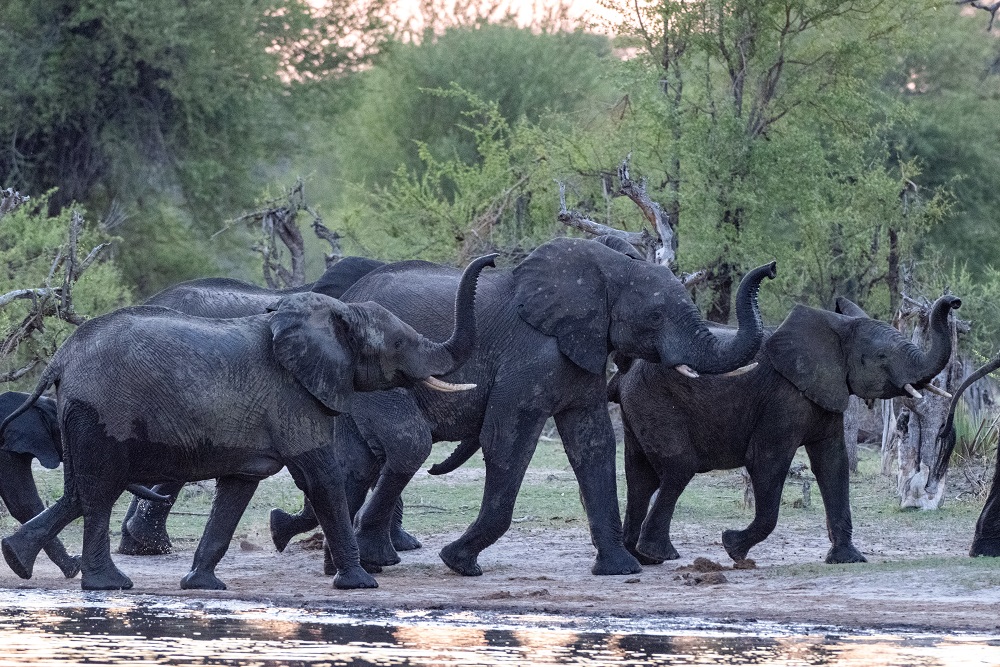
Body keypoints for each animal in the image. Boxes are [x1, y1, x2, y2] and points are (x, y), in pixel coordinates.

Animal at [0, 252, 492, 588]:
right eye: (398, 344)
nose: (493, 259)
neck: (327, 312)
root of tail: (61, 359)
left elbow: (238, 488)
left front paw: (202, 585)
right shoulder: (292, 397)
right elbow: (322, 476)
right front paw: (361, 583)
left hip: (85, 415)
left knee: (81, 491)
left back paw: (20, 561)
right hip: (104, 408)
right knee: (100, 489)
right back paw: (108, 584)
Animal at [270, 236, 776, 580]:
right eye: (653, 317)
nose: (770, 267)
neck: (602, 271)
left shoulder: (583, 353)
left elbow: (594, 445)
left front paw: (620, 570)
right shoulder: (530, 358)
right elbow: (508, 442)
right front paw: (459, 563)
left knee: (358, 463)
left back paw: (330, 559)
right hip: (375, 381)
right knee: (405, 445)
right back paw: (370, 561)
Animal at [608, 294, 960, 568]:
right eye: (882, 357)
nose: (954, 301)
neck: (837, 328)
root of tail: (625, 372)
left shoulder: (825, 392)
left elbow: (833, 465)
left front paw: (848, 559)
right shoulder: (783, 399)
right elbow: (767, 462)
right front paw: (732, 548)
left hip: (639, 405)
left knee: (641, 476)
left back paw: (639, 557)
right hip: (654, 400)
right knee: (678, 468)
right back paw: (656, 555)